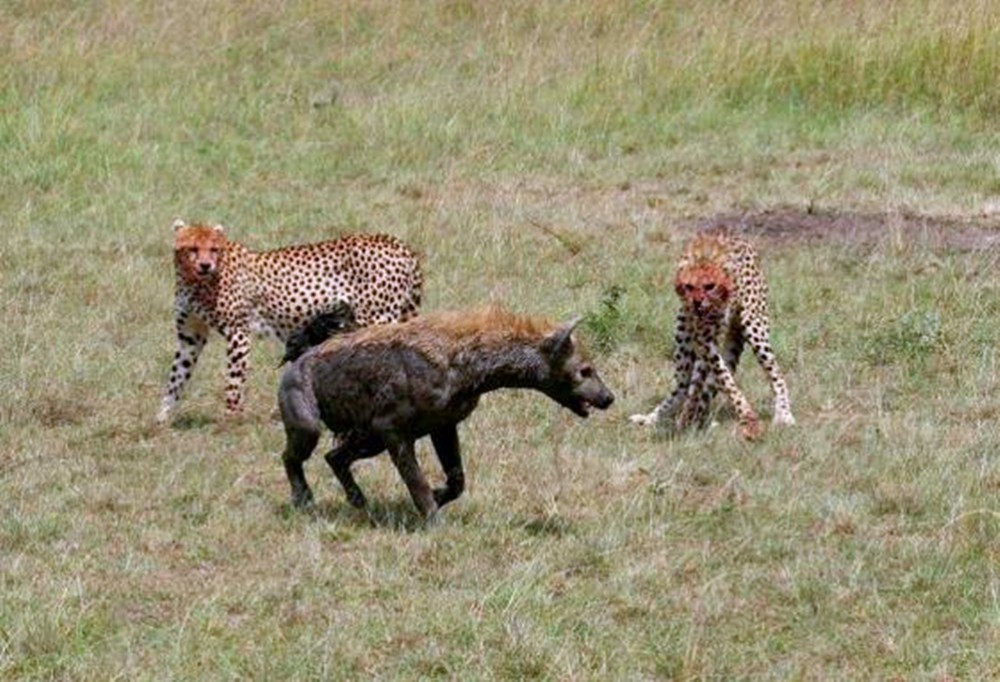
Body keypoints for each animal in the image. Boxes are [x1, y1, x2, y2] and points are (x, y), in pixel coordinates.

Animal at [158, 219, 424, 420]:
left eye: (214, 249)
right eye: (192, 248)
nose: (206, 265)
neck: (193, 280)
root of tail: (396, 242)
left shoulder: (238, 333)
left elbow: (233, 381)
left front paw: (230, 418)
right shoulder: (190, 337)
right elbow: (176, 377)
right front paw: (162, 418)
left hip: (376, 320)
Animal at [632, 231, 796, 438]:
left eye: (710, 286)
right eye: (689, 286)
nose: (697, 303)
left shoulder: (708, 341)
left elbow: (715, 381)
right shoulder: (703, 340)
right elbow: (720, 379)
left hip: (754, 326)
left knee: (776, 373)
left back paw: (784, 413)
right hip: (682, 331)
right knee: (682, 385)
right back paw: (659, 418)